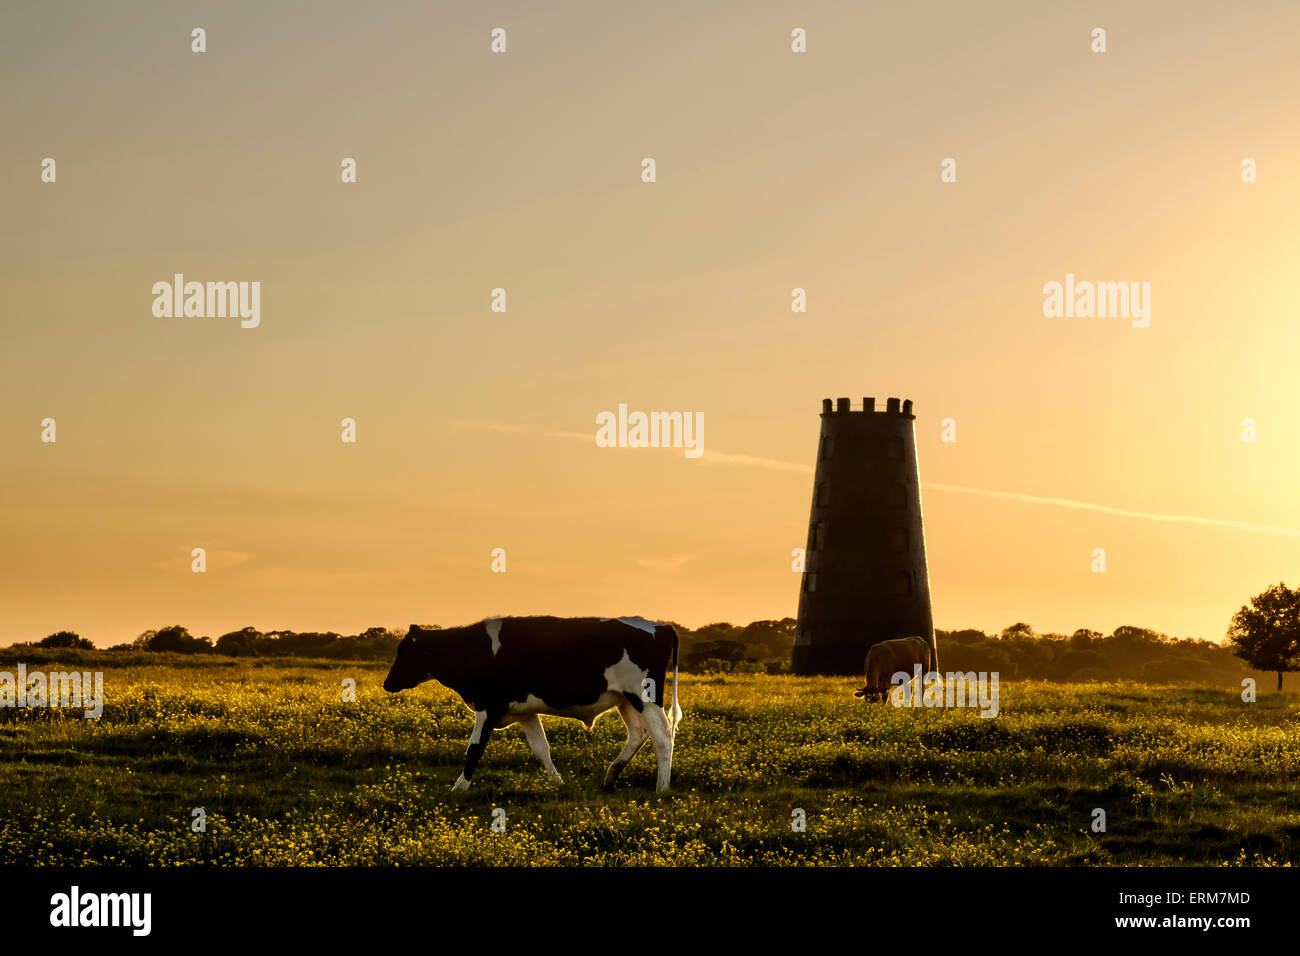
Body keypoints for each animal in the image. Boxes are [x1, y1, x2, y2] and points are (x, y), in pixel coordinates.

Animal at [379, 616, 686, 796]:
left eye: (405, 651)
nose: (387, 683)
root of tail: (659, 625)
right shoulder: (524, 711)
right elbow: (541, 748)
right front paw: (558, 782)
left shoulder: (489, 706)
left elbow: (474, 748)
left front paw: (459, 786)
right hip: (626, 699)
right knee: (638, 733)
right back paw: (610, 777)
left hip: (645, 697)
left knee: (662, 738)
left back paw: (662, 789)